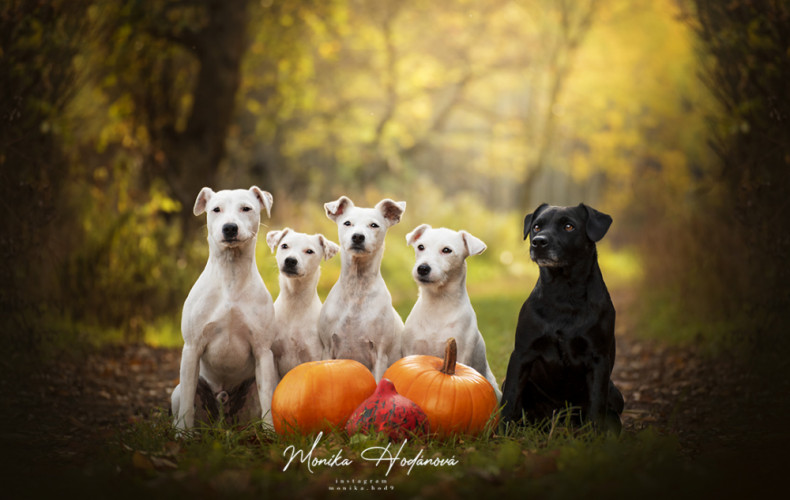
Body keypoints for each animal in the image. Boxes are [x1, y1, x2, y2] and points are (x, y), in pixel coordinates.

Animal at [170, 186, 278, 428]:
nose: (229, 228)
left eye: (246, 208)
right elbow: (187, 403)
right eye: (215, 209)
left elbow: (268, 398)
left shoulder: (263, 351)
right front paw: (183, 433)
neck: (231, 274)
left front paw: (271, 433)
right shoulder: (192, 349)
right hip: (178, 391)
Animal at [318, 195, 408, 378]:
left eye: (374, 225)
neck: (356, 289)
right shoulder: (328, 349)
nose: (358, 237)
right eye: (347, 223)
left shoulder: (380, 355)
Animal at [406, 225, 504, 400]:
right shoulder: (410, 350)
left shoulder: (461, 353)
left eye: (447, 250)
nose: (423, 268)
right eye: (420, 247)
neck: (438, 304)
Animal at [502, 203, 624, 434]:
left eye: (569, 226)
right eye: (537, 226)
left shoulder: (598, 358)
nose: (538, 242)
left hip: (616, 393)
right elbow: (510, 399)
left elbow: (596, 406)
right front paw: (500, 433)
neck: (564, 292)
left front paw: (593, 437)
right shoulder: (522, 353)